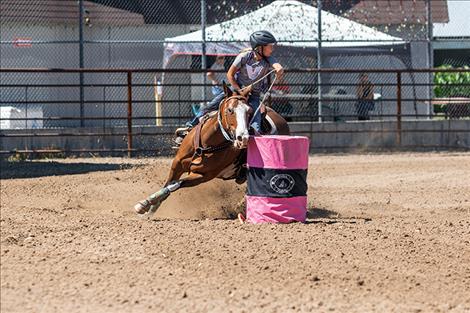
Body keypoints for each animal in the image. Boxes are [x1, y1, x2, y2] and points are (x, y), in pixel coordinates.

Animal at [133, 83, 290, 214]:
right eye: (230, 110)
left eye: (250, 111)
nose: (243, 138)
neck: (205, 144)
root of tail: (281, 120)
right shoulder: (177, 163)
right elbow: (168, 184)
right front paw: (150, 206)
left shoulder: (203, 176)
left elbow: (175, 185)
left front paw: (143, 205)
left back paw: (241, 206)